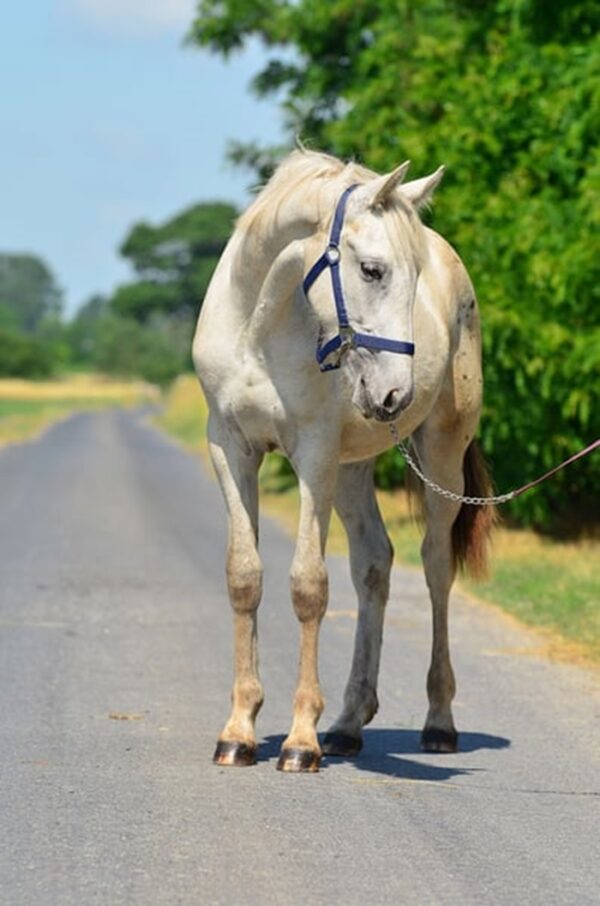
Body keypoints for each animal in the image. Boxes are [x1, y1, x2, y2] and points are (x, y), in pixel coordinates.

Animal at [192, 148, 495, 772]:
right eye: (372, 270)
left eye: (414, 279)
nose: (396, 395)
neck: (261, 326)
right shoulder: (230, 448)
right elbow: (244, 577)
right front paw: (238, 732)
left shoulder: (314, 455)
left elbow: (309, 586)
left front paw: (300, 741)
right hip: (355, 467)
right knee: (375, 564)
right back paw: (349, 725)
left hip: (439, 455)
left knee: (435, 568)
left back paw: (438, 723)